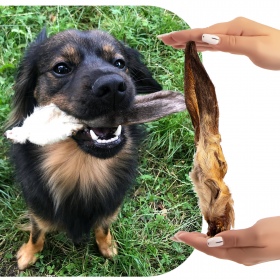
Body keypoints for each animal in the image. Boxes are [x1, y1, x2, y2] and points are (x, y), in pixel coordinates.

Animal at [6, 27, 186, 270]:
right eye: (61, 68)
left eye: (119, 63)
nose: (113, 86)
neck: (83, 170)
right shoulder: (37, 208)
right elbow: (37, 232)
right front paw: (28, 254)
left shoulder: (111, 207)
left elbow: (103, 226)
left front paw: (107, 246)